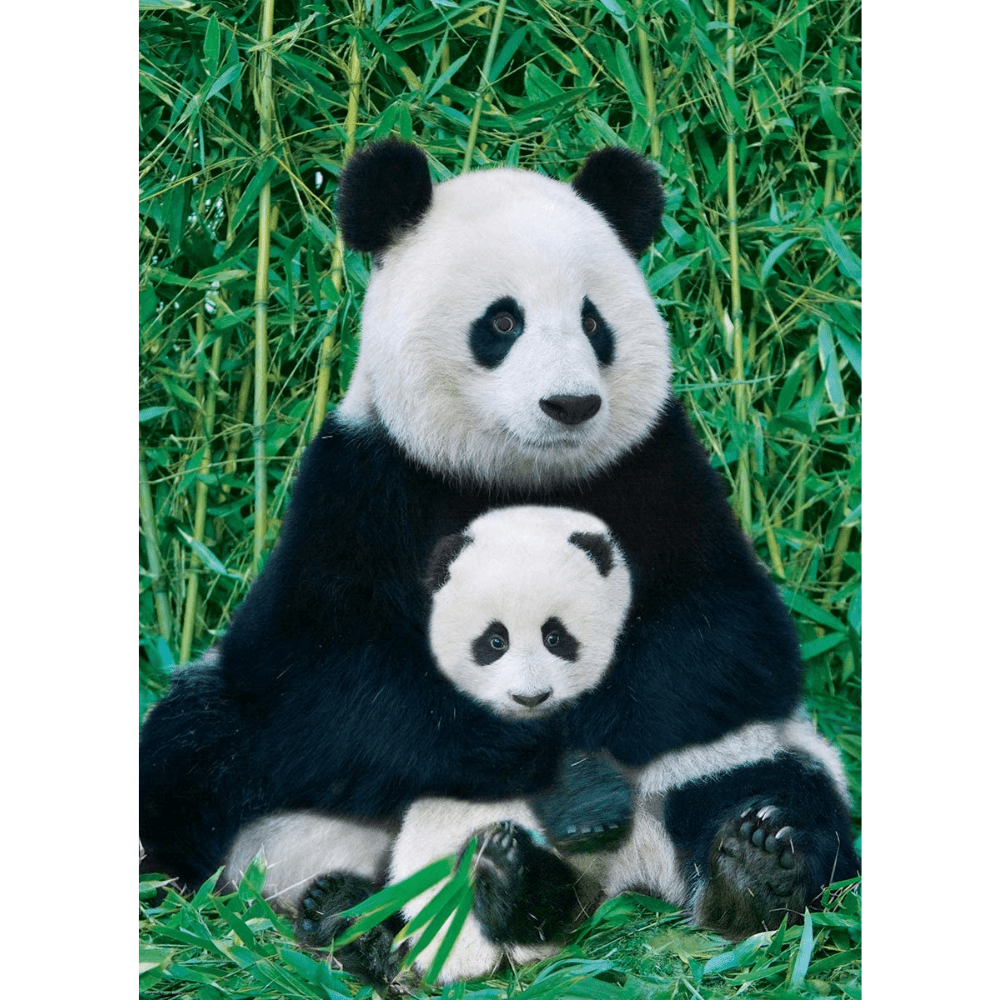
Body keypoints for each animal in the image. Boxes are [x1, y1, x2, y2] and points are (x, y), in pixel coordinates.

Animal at [139, 139, 859, 978]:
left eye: (592, 321)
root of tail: (613, 879)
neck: (517, 475)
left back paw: (748, 869)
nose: (571, 405)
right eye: (503, 321)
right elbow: (323, 674)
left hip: (738, 756)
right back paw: (354, 914)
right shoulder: (361, 485)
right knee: (193, 752)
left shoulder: (659, 470)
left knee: (775, 785)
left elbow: (724, 640)